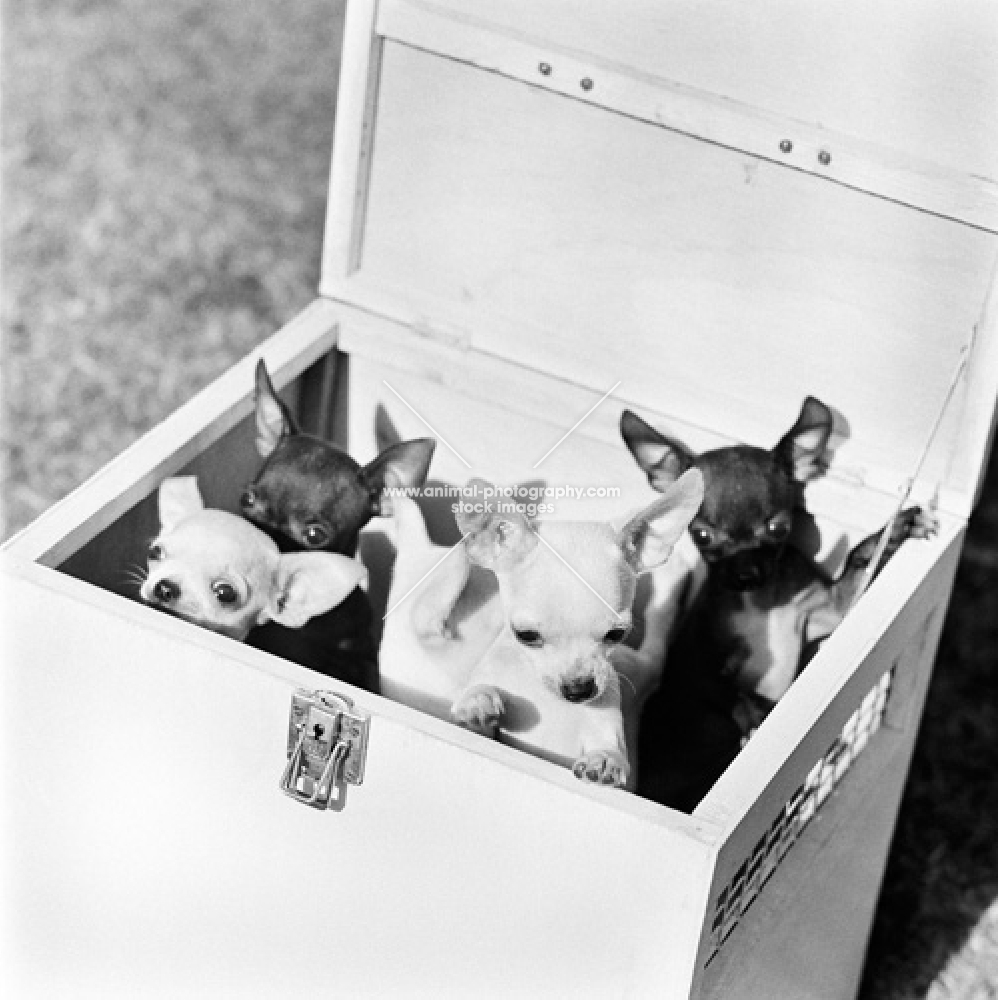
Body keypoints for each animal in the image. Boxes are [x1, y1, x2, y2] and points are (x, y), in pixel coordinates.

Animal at [380, 468, 704, 788]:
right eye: (526, 636)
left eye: (616, 635)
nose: (579, 689)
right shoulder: (485, 732)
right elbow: (476, 713)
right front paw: (478, 700)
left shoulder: (607, 711)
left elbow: (610, 748)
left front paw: (605, 759)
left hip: (638, 666)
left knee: (656, 651)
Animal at [620, 394, 932, 808]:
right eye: (701, 535)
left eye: (777, 527)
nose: (745, 574)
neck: (763, 604)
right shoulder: (706, 668)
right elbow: (736, 696)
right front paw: (760, 715)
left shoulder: (831, 610)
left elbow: (856, 562)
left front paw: (895, 530)